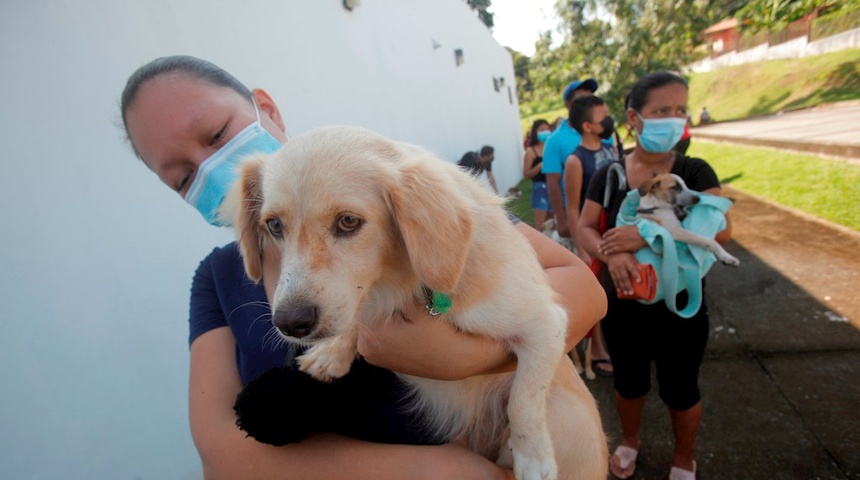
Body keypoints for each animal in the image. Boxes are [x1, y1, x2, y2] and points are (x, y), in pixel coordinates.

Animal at [225, 125, 608, 478]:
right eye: (274, 226)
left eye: (348, 222)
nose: (290, 323)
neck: (397, 283)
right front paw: (332, 352)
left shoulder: (545, 323)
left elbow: (523, 399)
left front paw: (533, 460)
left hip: (563, 409)